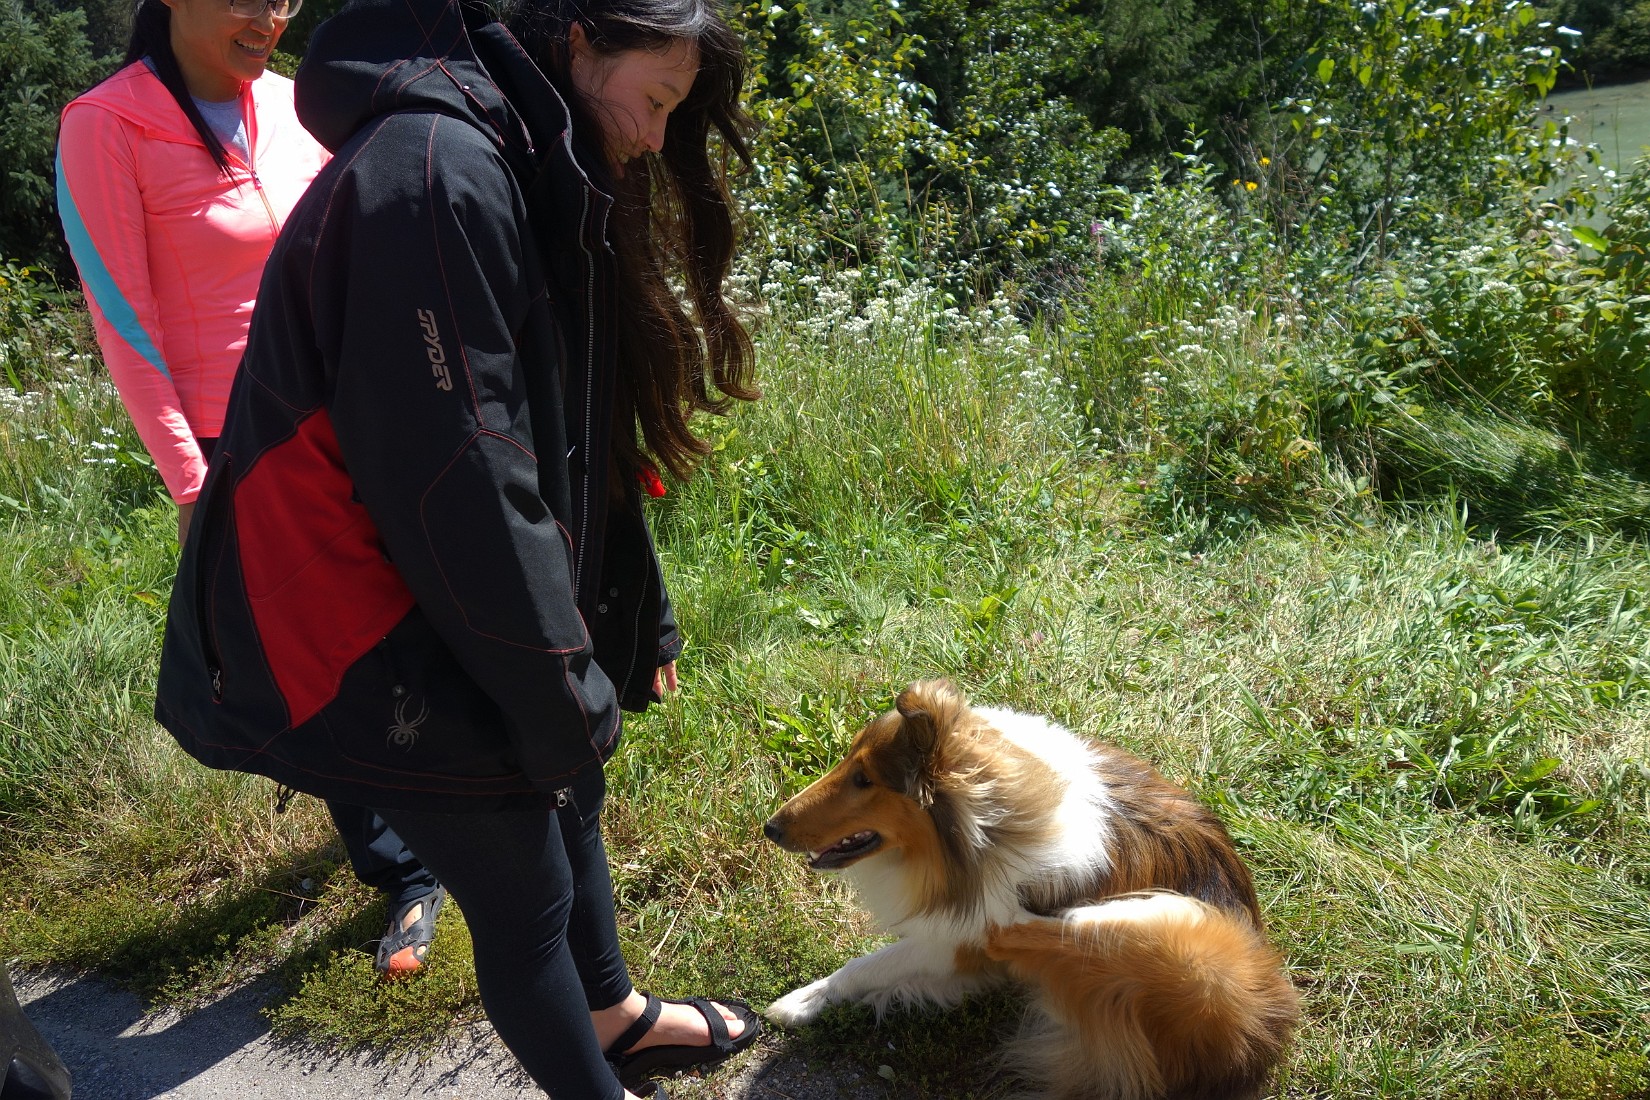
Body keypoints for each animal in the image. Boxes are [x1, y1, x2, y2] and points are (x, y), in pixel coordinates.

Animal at [762, 679, 1299, 1100]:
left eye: (863, 779)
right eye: (850, 764)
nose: (770, 828)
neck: (983, 826)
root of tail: (1251, 1058)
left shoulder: (957, 935)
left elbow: (872, 962)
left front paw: (799, 1002)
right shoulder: (947, 945)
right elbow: (877, 964)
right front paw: (809, 999)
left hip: (1202, 951)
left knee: (1051, 928)